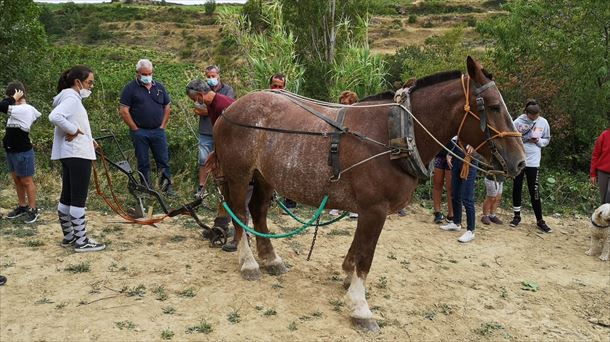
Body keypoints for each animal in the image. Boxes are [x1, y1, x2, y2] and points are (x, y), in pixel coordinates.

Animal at [209, 56, 524, 332]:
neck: (395, 135)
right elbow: (366, 257)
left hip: (264, 177)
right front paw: (361, 308)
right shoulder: (375, 208)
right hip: (239, 175)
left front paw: (347, 277)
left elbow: (357, 249)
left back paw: (271, 259)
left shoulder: (367, 209)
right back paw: (249, 263)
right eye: (494, 107)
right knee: (239, 213)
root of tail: (229, 110)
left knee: (259, 211)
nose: (520, 162)